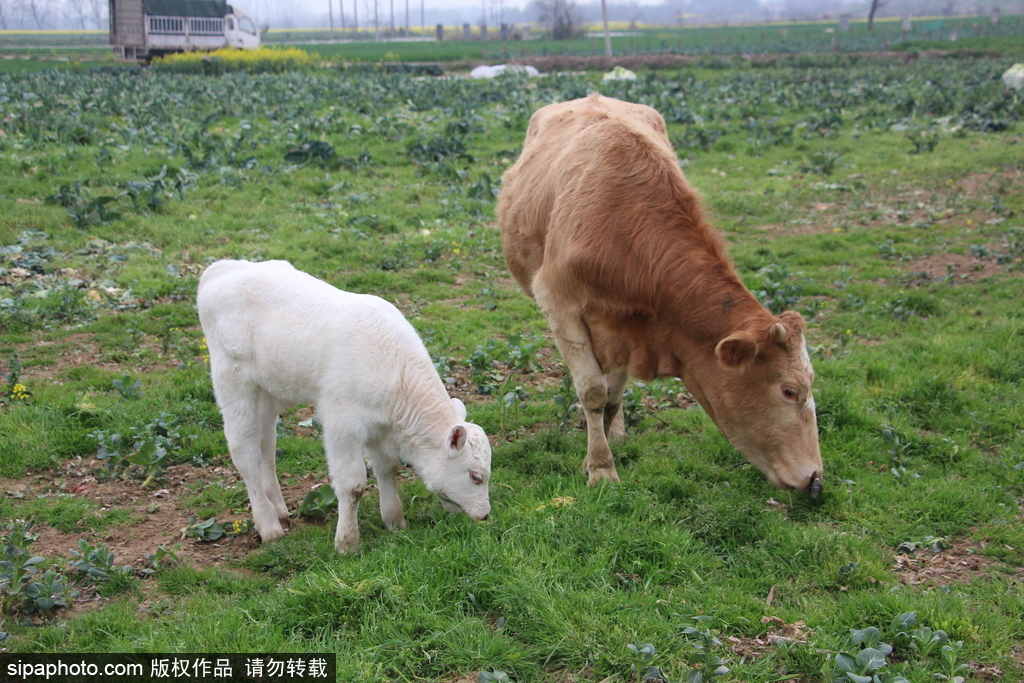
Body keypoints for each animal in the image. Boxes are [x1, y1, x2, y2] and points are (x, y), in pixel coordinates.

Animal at [197, 259, 493, 552]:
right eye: (476, 476)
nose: (485, 515)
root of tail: (221, 268)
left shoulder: (379, 424)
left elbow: (388, 468)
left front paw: (395, 521)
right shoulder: (343, 421)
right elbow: (353, 485)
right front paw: (347, 542)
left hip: (268, 389)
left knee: (266, 446)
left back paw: (279, 510)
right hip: (232, 380)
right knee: (244, 450)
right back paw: (269, 527)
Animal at [495, 92, 823, 497]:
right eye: (790, 390)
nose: (815, 478)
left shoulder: (626, 328)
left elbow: (611, 394)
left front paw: (600, 448)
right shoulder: (561, 306)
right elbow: (593, 391)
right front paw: (600, 467)